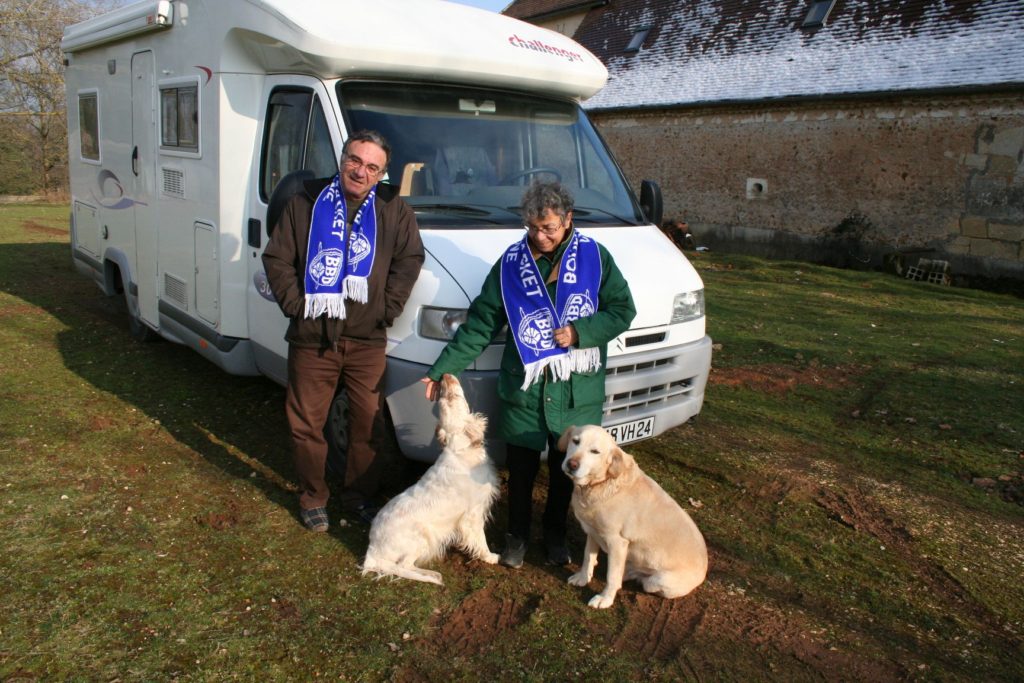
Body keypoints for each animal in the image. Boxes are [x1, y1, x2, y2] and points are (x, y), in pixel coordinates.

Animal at [364, 376, 499, 585]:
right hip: (422, 536)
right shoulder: (473, 515)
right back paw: (432, 575)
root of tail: (372, 550)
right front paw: (491, 557)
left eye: (447, 398)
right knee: (402, 566)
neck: (459, 449)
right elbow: (480, 540)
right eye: (452, 396)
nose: (445, 377)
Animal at [561, 428, 704, 610]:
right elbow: (588, 557)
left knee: (643, 580)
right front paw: (582, 578)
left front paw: (605, 598)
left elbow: (611, 577)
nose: (572, 464)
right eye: (575, 441)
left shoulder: (617, 542)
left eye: (595, 451)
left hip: (657, 580)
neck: (599, 484)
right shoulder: (592, 532)